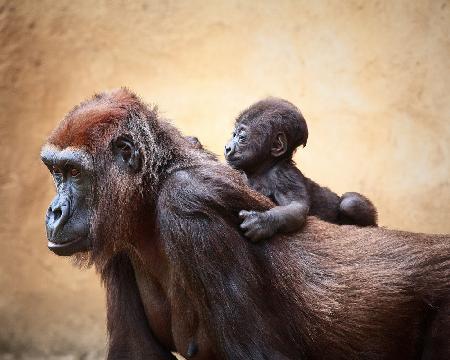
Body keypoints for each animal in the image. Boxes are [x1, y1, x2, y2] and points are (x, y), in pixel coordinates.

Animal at [224, 97, 376, 240]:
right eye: (234, 135)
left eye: (242, 137)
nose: (227, 148)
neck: (263, 167)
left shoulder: (284, 175)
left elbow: (296, 206)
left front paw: (262, 222)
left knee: (350, 203)